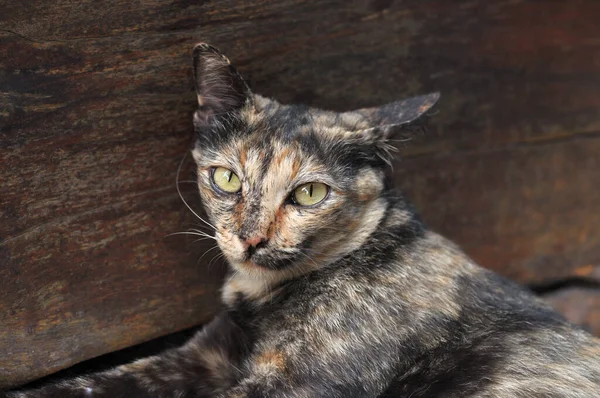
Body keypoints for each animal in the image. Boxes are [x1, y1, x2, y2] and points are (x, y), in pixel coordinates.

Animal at [4, 43, 600, 398]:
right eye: (227, 179)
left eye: (310, 193)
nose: (250, 239)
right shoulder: (203, 355)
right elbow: (95, 381)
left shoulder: (295, 386)